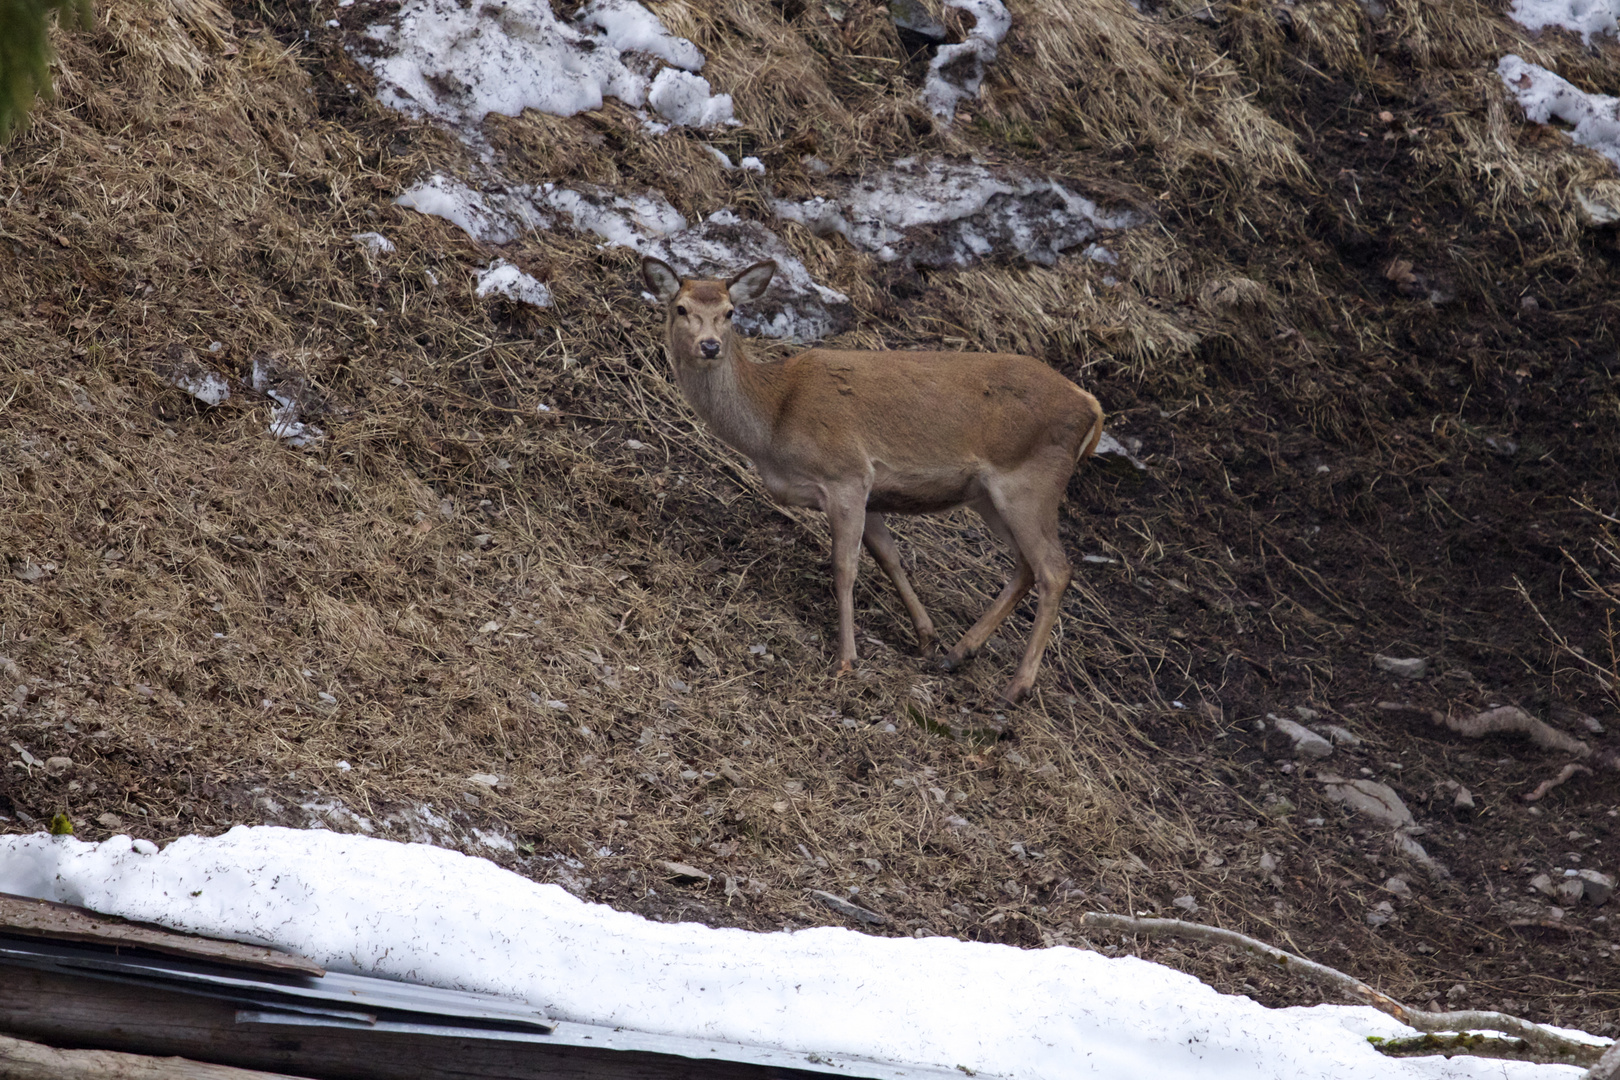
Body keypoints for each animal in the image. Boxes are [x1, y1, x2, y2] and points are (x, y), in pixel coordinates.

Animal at [638, 257, 1108, 705]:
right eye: (681, 309)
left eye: (730, 312)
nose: (710, 345)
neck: (773, 421)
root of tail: (1092, 405)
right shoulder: (871, 491)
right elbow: (889, 556)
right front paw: (927, 638)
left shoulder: (846, 472)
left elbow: (845, 566)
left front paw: (846, 659)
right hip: (988, 496)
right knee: (1026, 566)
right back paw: (959, 653)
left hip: (1030, 480)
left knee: (1055, 569)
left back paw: (1015, 688)